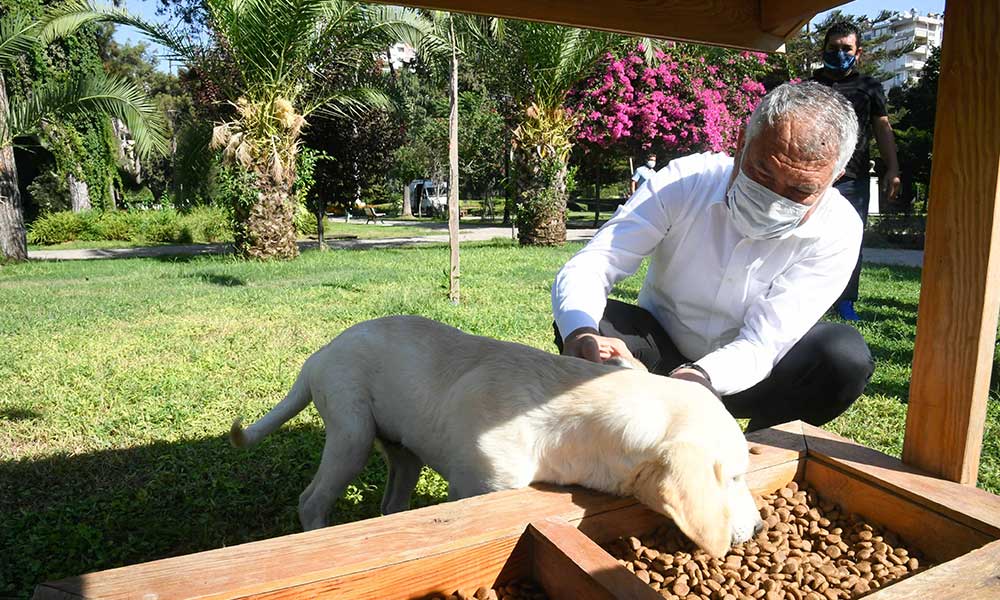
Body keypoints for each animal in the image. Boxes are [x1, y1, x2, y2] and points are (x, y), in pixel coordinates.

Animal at [232, 316, 764, 556]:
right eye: (734, 478)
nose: (760, 530)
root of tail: (318, 354)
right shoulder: (474, 487)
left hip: (403, 450)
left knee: (391, 501)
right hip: (351, 433)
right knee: (311, 500)